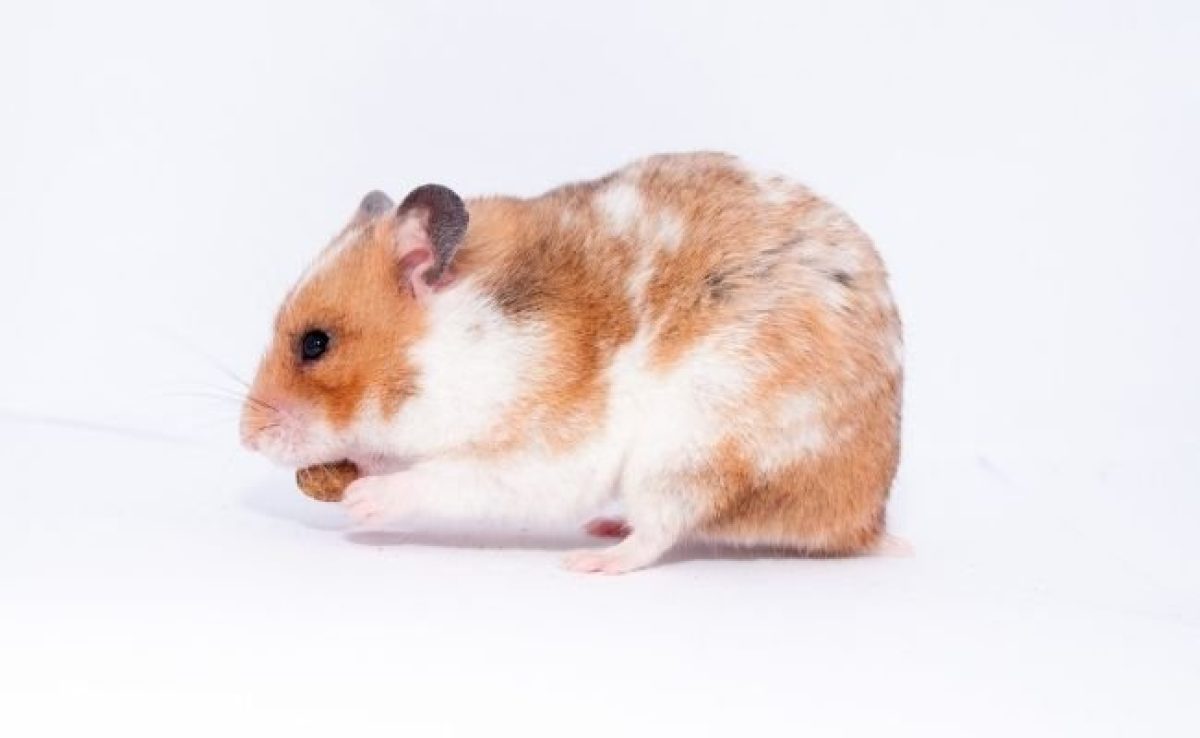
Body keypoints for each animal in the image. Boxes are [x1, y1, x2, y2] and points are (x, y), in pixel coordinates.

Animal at [240, 152, 903, 574]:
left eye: (315, 343)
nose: (246, 440)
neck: (449, 347)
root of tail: (862, 520)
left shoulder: (545, 444)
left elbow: (456, 477)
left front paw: (362, 502)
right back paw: (605, 529)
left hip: (694, 446)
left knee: (662, 529)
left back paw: (591, 559)